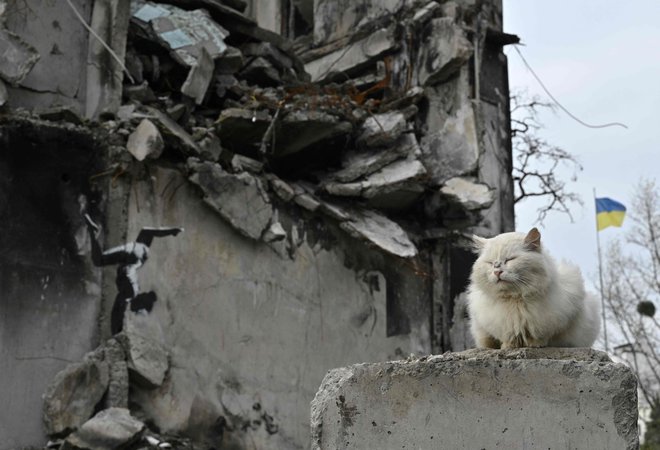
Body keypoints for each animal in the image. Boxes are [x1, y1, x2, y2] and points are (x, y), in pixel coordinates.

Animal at [466, 229, 600, 348]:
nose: (497, 271)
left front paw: (534, 344)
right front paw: (509, 346)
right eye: (490, 262)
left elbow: (540, 336)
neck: (515, 298)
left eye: (510, 259)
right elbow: (507, 338)